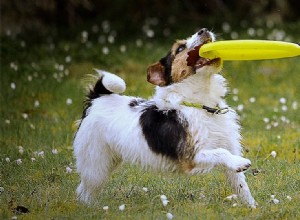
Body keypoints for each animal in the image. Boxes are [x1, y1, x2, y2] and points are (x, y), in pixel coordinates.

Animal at [74, 28, 256, 207]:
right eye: (180, 49)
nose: (203, 30)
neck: (200, 105)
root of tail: (96, 99)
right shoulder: (191, 157)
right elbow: (220, 153)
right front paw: (241, 163)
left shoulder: (229, 147)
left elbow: (241, 185)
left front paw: (252, 207)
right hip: (96, 163)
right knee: (85, 190)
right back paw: (90, 208)